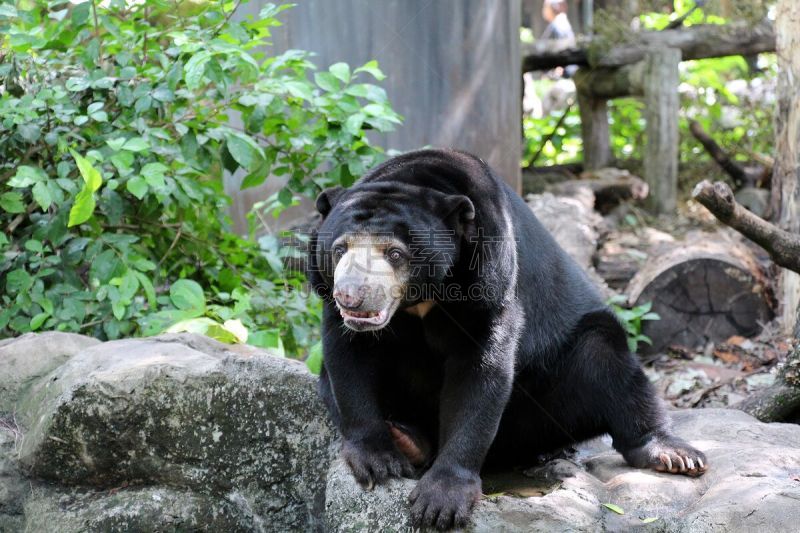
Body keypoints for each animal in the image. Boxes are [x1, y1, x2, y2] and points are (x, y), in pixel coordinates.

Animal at [306, 148, 708, 528]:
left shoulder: (490, 276)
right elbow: (348, 360)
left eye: (394, 253)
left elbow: (482, 368)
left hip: (557, 380)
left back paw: (673, 454)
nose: (351, 296)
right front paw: (379, 460)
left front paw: (441, 501)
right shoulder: (336, 309)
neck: (423, 297)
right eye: (339, 249)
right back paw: (409, 441)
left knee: (609, 362)